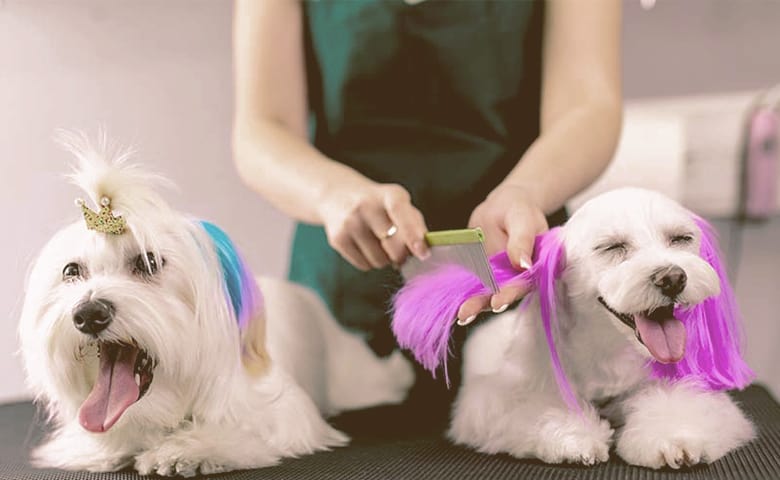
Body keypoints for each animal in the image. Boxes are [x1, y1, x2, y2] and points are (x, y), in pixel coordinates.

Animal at [18, 132, 414, 476]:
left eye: (148, 262)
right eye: (71, 271)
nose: (88, 314)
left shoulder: (282, 412)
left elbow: (243, 430)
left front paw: (190, 448)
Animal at [394, 187, 760, 468]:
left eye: (681, 238)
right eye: (612, 247)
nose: (672, 277)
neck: (607, 347)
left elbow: (682, 407)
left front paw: (673, 438)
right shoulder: (496, 400)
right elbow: (537, 407)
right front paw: (574, 437)